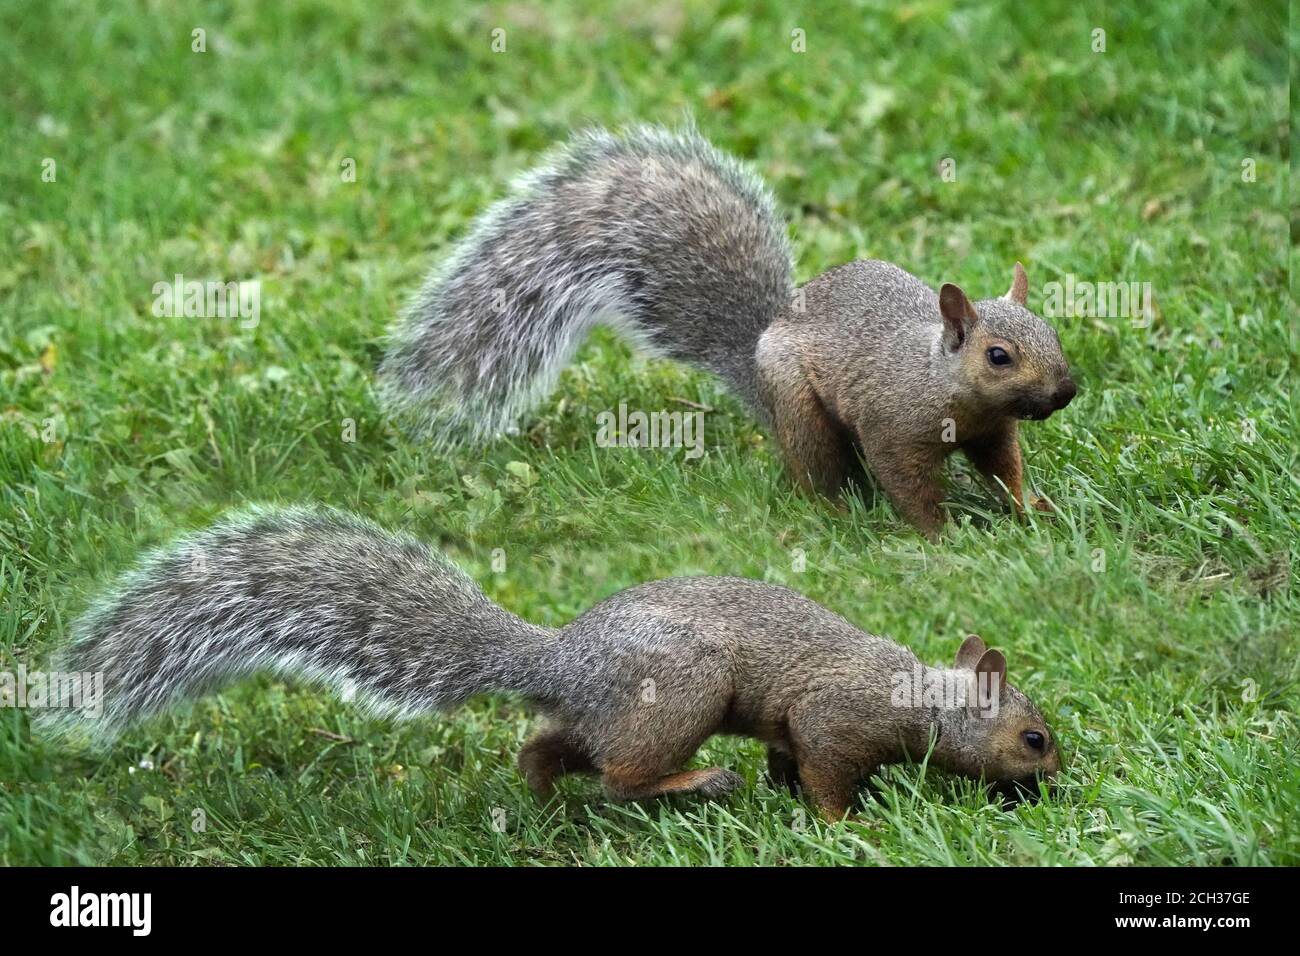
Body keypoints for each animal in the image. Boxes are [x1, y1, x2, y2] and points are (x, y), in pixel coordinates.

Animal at [53, 504, 1066, 816]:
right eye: (1033, 738)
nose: (1059, 781)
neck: (921, 697)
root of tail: (561, 665)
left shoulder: (793, 721)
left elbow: (788, 754)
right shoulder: (834, 718)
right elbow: (820, 770)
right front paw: (845, 823)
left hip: (601, 714)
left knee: (543, 750)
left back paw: (540, 797)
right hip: (680, 694)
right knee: (621, 774)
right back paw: (694, 784)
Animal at [379, 125, 1081, 538]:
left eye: (1053, 334)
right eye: (998, 355)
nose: (1065, 392)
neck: (940, 379)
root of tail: (758, 347)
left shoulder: (994, 431)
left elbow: (1004, 471)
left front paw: (1034, 510)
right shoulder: (893, 427)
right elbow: (909, 485)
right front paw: (941, 537)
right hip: (801, 409)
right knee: (815, 470)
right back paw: (837, 512)